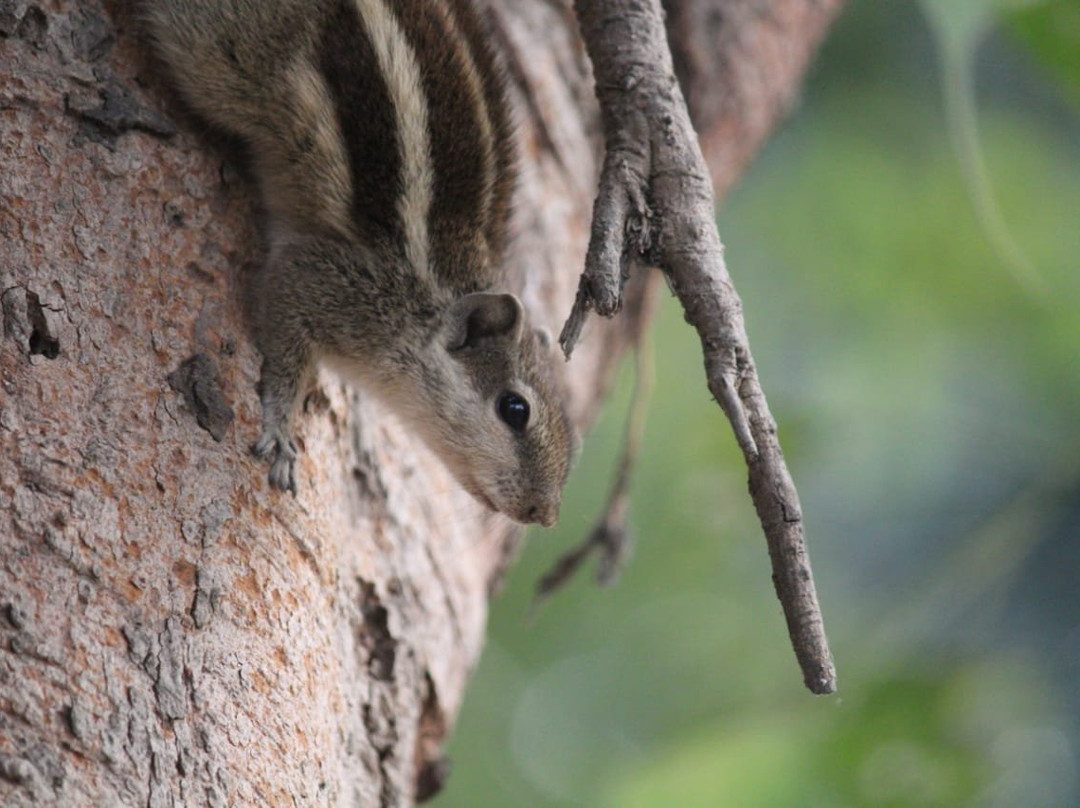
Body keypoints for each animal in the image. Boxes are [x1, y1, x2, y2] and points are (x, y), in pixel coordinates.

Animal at [144, 0, 583, 524]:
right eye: (515, 409)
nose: (544, 513)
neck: (433, 298)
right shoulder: (332, 283)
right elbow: (286, 337)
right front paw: (281, 428)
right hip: (221, 57)